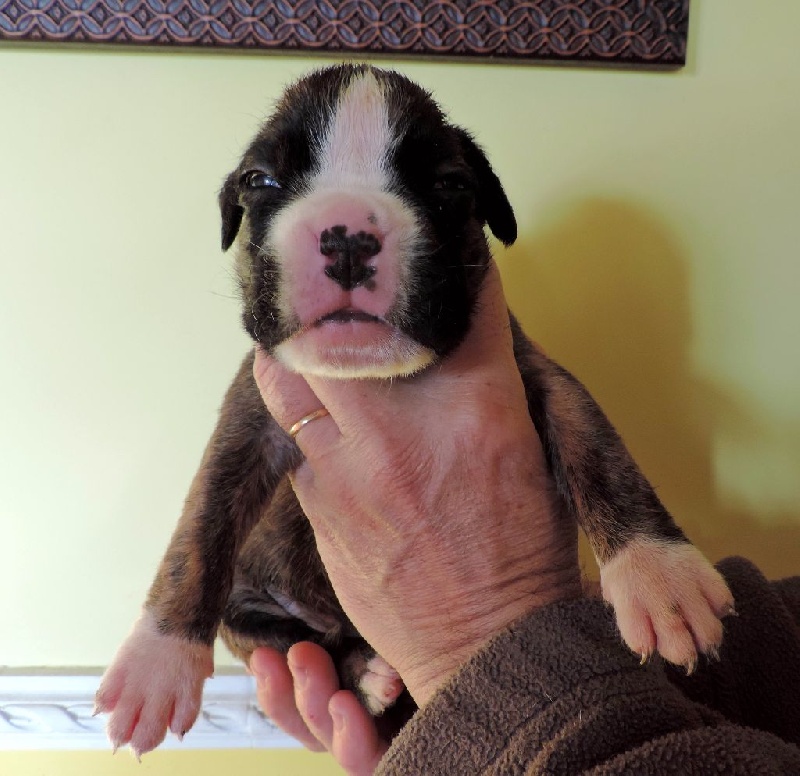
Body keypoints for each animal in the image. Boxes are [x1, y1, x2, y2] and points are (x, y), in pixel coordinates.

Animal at [95, 64, 734, 756]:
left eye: (450, 185)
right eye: (260, 181)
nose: (347, 235)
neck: (378, 379)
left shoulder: (537, 376)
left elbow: (599, 450)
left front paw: (658, 574)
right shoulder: (248, 418)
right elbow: (199, 531)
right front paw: (157, 663)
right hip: (252, 611)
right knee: (290, 639)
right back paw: (363, 671)